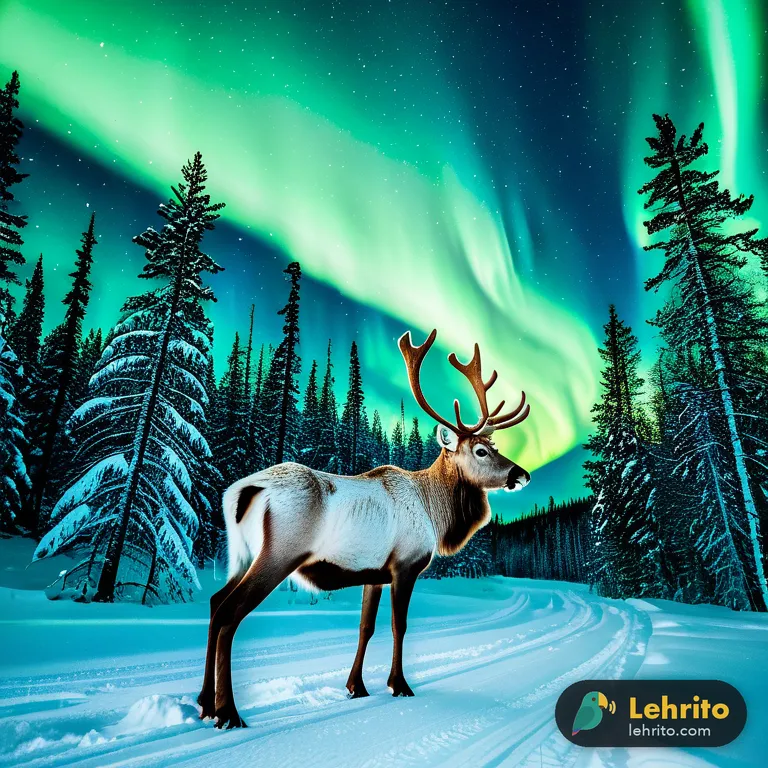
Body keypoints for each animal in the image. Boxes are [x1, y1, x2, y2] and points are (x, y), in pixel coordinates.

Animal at [198, 328, 531, 728]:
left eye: (494, 446)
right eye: (481, 450)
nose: (522, 474)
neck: (434, 511)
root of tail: (243, 490)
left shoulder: (374, 573)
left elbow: (365, 627)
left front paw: (356, 686)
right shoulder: (405, 565)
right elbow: (399, 625)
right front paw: (399, 684)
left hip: (239, 554)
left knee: (215, 603)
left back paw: (204, 703)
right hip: (278, 553)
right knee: (231, 612)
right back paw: (228, 712)